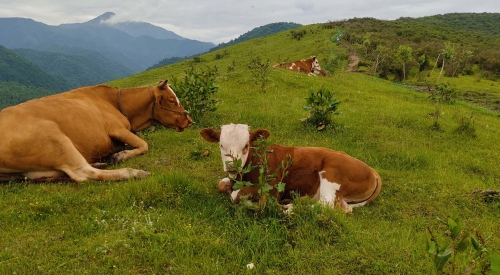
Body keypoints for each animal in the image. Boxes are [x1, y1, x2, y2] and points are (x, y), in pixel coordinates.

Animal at [0, 79, 191, 183]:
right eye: (172, 100)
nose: (189, 120)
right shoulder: (117, 129)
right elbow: (144, 144)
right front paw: (120, 156)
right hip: (54, 137)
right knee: (84, 174)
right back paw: (133, 172)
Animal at [201, 124, 380, 213]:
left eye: (246, 145)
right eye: (221, 145)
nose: (232, 166)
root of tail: (373, 171)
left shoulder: (272, 188)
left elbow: (236, 195)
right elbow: (221, 184)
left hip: (332, 174)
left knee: (326, 205)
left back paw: (291, 207)